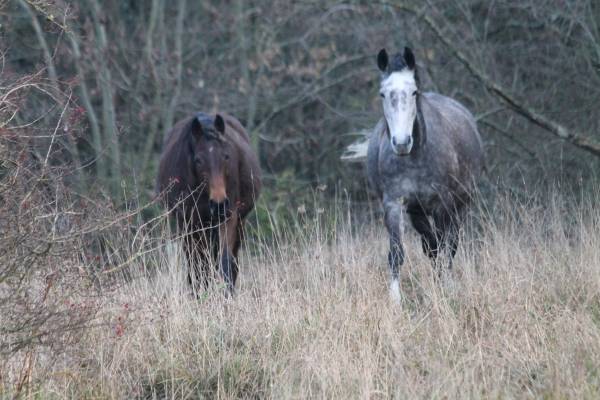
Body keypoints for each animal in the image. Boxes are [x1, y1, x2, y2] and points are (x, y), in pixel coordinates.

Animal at [158, 112, 262, 294]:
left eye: (226, 156)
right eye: (198, 160)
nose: (218, 204)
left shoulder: (229, 217)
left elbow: (225, 260)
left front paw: (227, 295)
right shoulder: (189, 223)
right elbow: (197, 265)